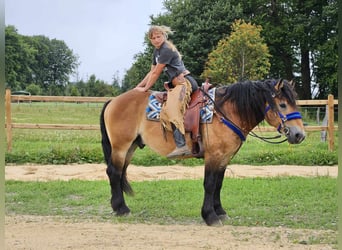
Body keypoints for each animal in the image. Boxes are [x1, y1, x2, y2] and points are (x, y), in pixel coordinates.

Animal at [100, 78, 306, 227]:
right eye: (282, 105)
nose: (299, 135)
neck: (226, 112)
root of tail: (113, 101)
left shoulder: (224, 157)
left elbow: (218, 184)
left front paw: (220, 212)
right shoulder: (213, 156)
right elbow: (209, 184)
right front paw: (210, 216)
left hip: (130, 147)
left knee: (119, 173)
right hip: (121, 146)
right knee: (114, 172)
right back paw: (121, 208)